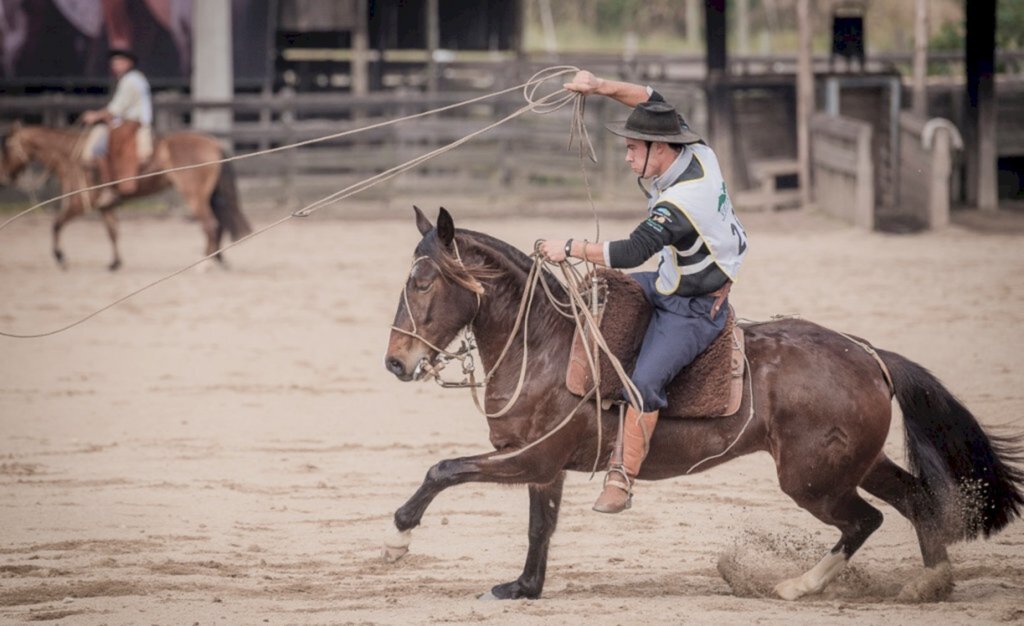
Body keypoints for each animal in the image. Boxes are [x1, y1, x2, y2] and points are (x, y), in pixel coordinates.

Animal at [1, 122, 251, 268]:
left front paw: (60, 257)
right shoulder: (106, 205)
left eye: (7, 147)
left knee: (210, 224)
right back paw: (217, 259)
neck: (71, 156)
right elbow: (112, 231)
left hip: (194, 195)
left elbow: (56, 223)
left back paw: (205, 263)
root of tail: (214, 143)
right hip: (207, 195)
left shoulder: (80, 202)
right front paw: (114, 263)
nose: (6, 176)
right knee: (218, 223)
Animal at [385, 207, 1024, 606]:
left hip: (813, 481)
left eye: (423, 283)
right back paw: (931, 584)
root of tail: (868, 355)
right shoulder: (545, 470)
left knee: (865, 521)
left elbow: (442, 470)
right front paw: (523, 588)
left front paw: (397, 540)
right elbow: (539, 528)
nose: (395, 362)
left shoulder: (532, 458)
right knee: (915, 501)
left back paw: (797, 587)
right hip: (855, 464)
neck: (547, 344)